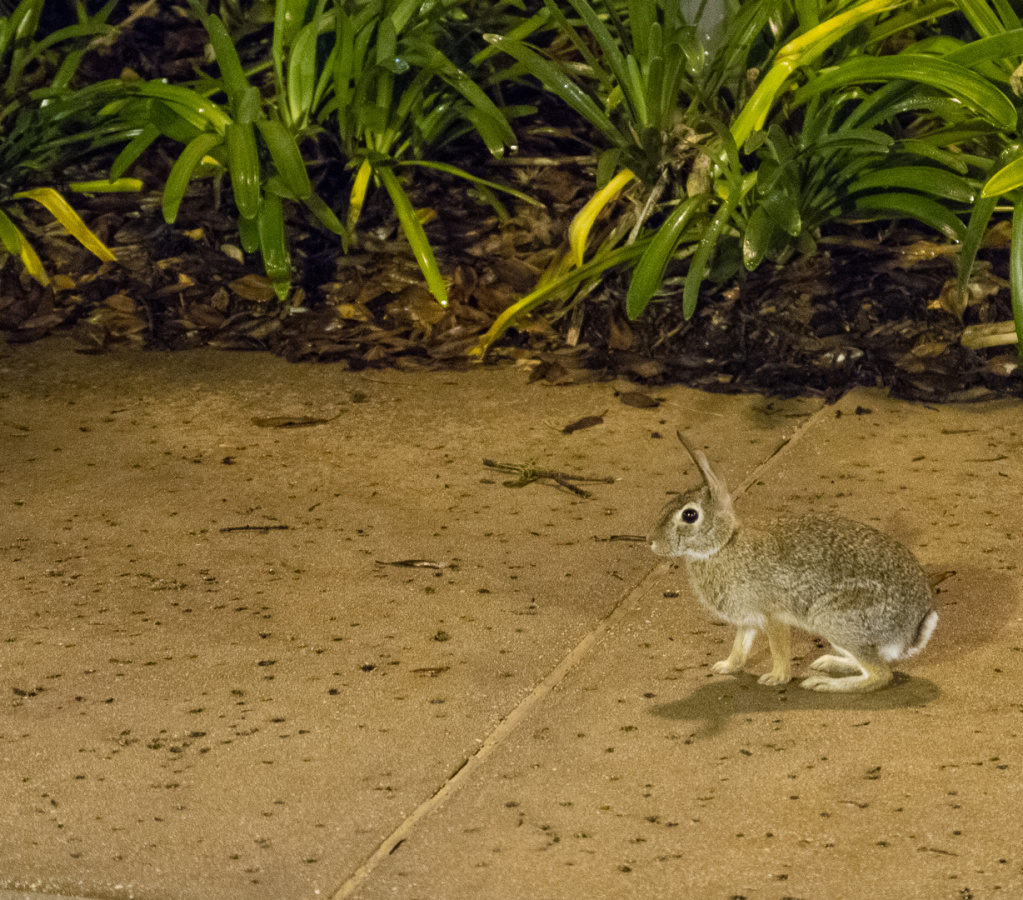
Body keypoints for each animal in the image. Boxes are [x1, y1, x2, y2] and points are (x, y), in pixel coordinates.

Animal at [647, 433, 938, 693]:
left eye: (689, 515)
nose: (651, 541)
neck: (723, 544)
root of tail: (914, 629)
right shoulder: (749, 619)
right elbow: (740, 646)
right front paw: (726, 666)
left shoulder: (772, 614)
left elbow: (778, 649)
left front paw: (775, 678)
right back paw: (828, 663)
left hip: (835, 620)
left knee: (880, 674)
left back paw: (823, 683)